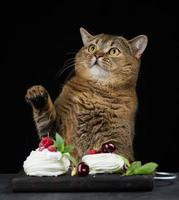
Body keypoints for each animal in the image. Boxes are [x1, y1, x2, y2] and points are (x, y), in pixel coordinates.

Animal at [25, 27, 148, 161]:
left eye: (114, 51)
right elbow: (45, 122)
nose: (97, 55)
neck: (95, 93)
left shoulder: (118, 139)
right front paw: (36, 92)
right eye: (92, 48)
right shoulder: (56, 131)